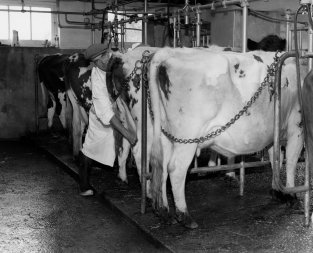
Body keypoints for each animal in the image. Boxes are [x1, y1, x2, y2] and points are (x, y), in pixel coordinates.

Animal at [148, 46, 304, 228]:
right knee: (176, 169)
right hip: (187, 137)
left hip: (165, 134)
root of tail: (168, 52)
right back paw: (184, 215)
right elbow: (291, 162)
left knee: (162, 166)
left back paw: (164, 211)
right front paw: (291, 195)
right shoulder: (297, 127)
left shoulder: (274, 134)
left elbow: (275, 160)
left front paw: (277, 190)